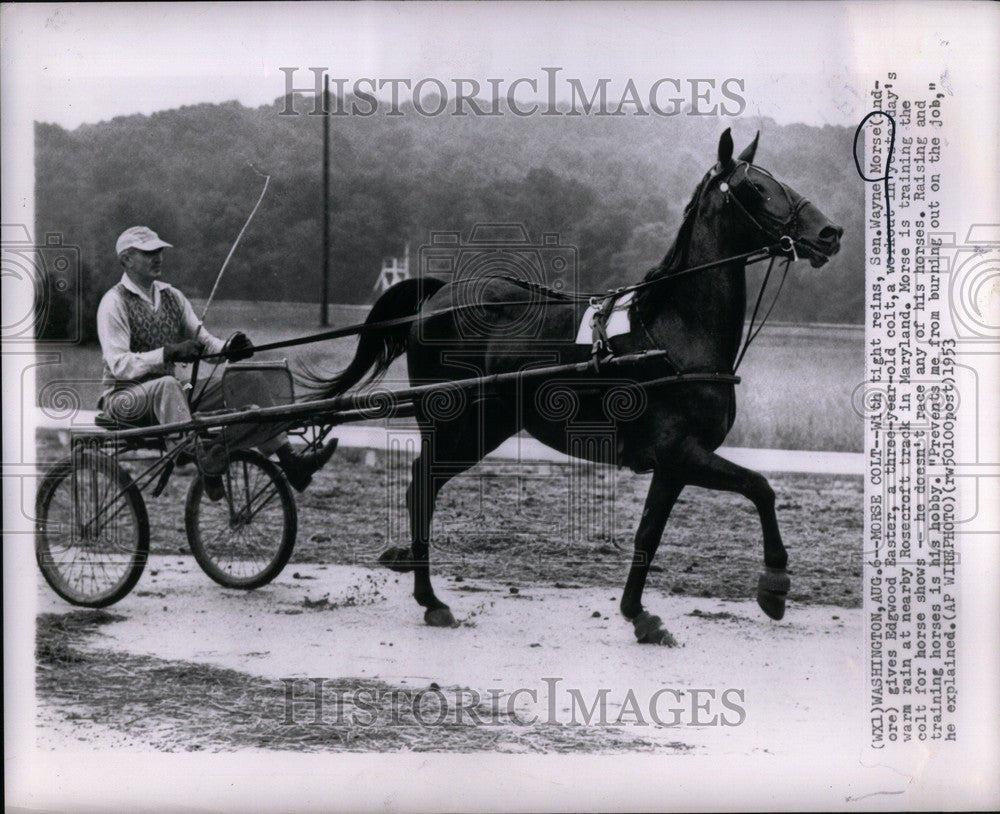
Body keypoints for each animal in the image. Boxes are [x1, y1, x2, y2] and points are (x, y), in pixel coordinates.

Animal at [308, 131, 840, 648]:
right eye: (757, 188)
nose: (829, 234)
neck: (669, 333)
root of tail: (439, 296)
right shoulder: (681, 452)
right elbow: (760, 487)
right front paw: (774, 585)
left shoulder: (673, 465)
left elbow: (650, 534)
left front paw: (639, 615)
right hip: (455, 425)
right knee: (421, 488)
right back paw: (431, 600)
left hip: (485, 427)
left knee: (425, 486)